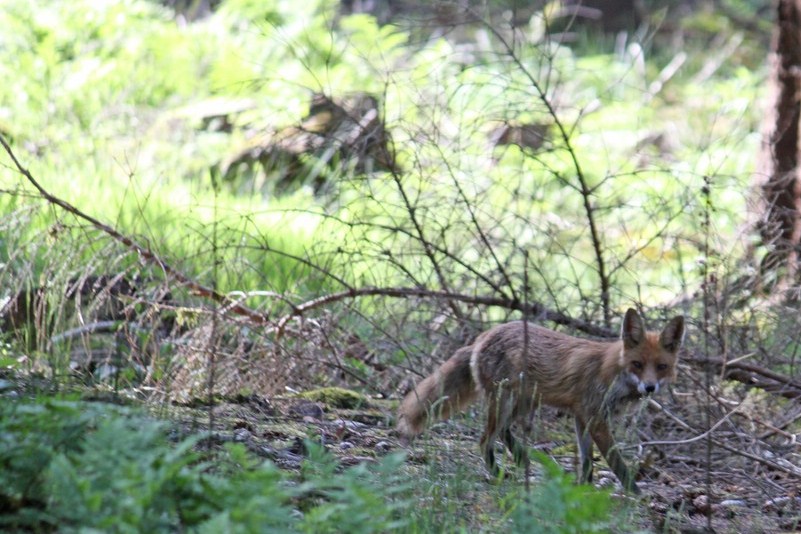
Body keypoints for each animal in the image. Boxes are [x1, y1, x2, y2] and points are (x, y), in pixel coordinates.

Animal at [396, 310, 684, 494]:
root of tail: (483, 335)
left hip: (524, 403)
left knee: (503, 432)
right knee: (485, 440)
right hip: (504, 402)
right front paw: (636, 494)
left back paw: (522, 459)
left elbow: (587, 460)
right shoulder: (596, 418)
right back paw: (499, 474)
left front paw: (583, 489)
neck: (611, 372)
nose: (649, 387)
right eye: (637, 364)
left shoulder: (583, 416)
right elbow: (616, 462)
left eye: (661, 367)